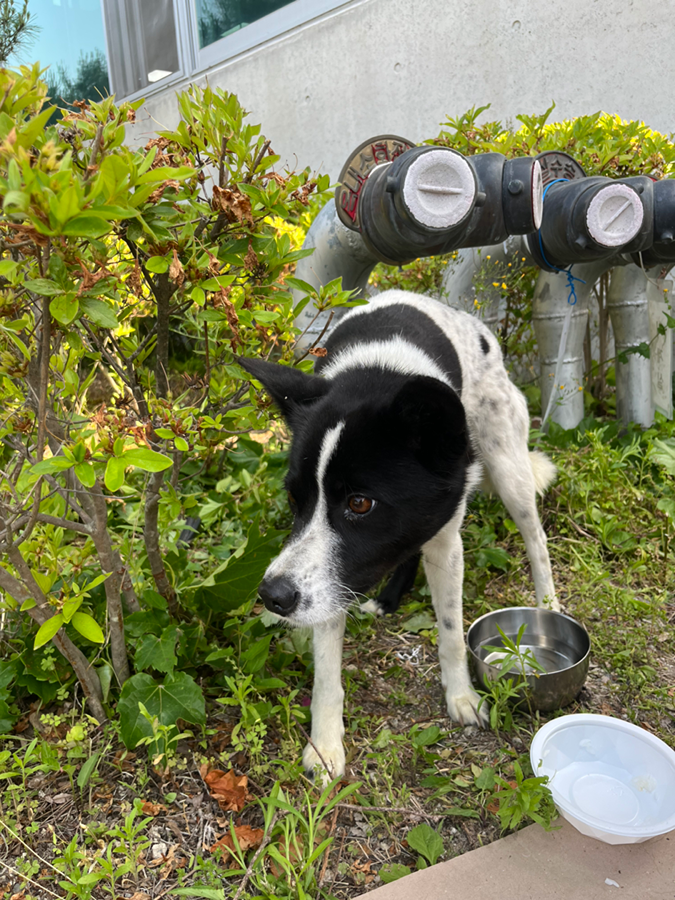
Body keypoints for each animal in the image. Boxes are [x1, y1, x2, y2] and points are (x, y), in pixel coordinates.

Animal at [240, 290, 556, 780]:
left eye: (359, 504)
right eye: (295, 498)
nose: (273, 596)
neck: (379, 371)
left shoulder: (445, 540)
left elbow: (450, 631)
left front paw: (461, 696)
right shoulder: (332, 577)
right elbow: (327, 672)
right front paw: (326, 746)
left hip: (508, 466)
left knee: (536, 540)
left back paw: (550, 605)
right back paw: (387, 599)